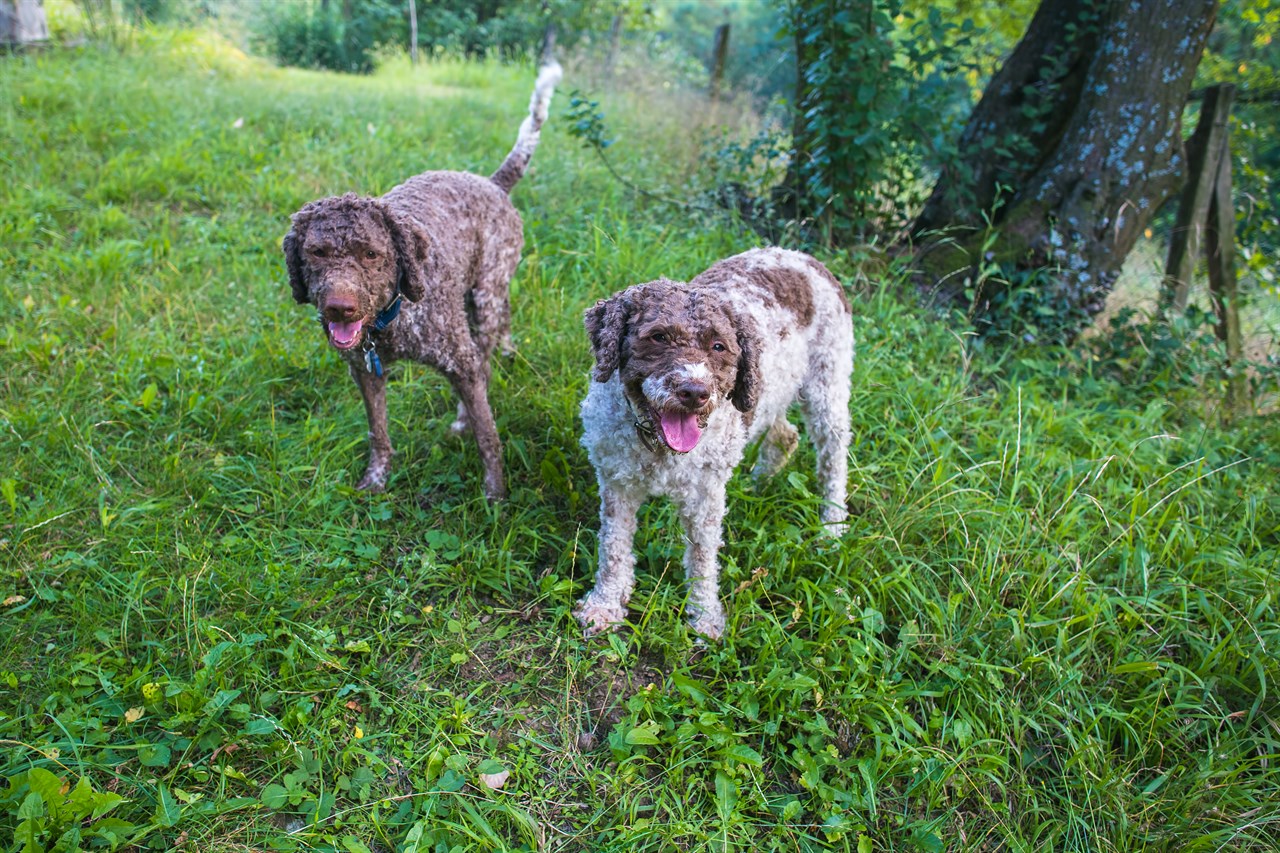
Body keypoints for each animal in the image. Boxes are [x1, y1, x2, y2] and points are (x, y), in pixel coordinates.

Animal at [576, 245, 855, 637]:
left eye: (719, 346)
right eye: (658, 337)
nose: (695, 392)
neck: (658, 447)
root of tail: (803, 256)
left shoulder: (704, 496)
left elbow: (702, 558)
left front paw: (704, 616)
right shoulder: (618, 483)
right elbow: (614, 548)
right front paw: (605, 605)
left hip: (827, 386)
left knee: (833, 458)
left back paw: (832, 527)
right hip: (772, 392)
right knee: (785, 434)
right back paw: (759, 483)